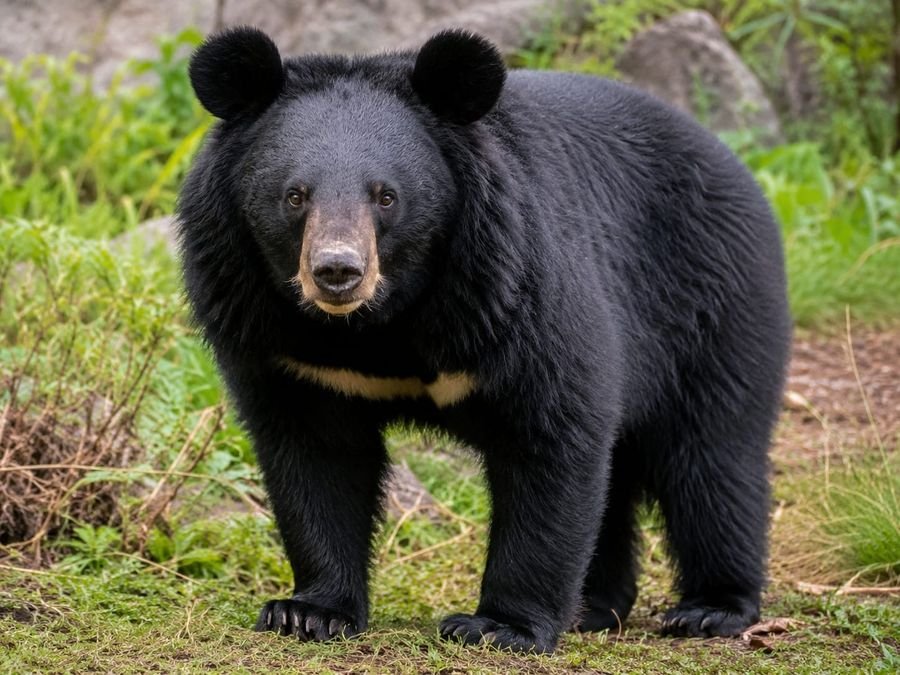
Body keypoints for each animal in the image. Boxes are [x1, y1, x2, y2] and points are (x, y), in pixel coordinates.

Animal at [178, 26, 791, 654]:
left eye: (386, 196)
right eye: (295, 195)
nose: (337, 271)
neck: (374, 322)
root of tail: (732, 161)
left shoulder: (511, 287)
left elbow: (550, 436)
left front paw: (499, 626)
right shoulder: (283, 341)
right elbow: (316, 457)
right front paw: (307, 611)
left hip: (710, 302)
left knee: (711, 455)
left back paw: (710, 609)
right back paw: (594, 606)